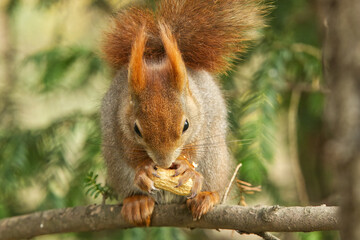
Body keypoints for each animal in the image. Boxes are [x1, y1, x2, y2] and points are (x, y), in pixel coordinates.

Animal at [100, 0, 266, 225]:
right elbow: (129, 152)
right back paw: (137, 202)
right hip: (116, 168)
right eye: (137, 129)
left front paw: (187, 168)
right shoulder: (118, 121)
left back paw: (206, 196)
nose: (164, 163)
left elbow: (195, 147)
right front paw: (143, 170)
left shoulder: (201, 118)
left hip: (215, 160)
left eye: (186, 125)